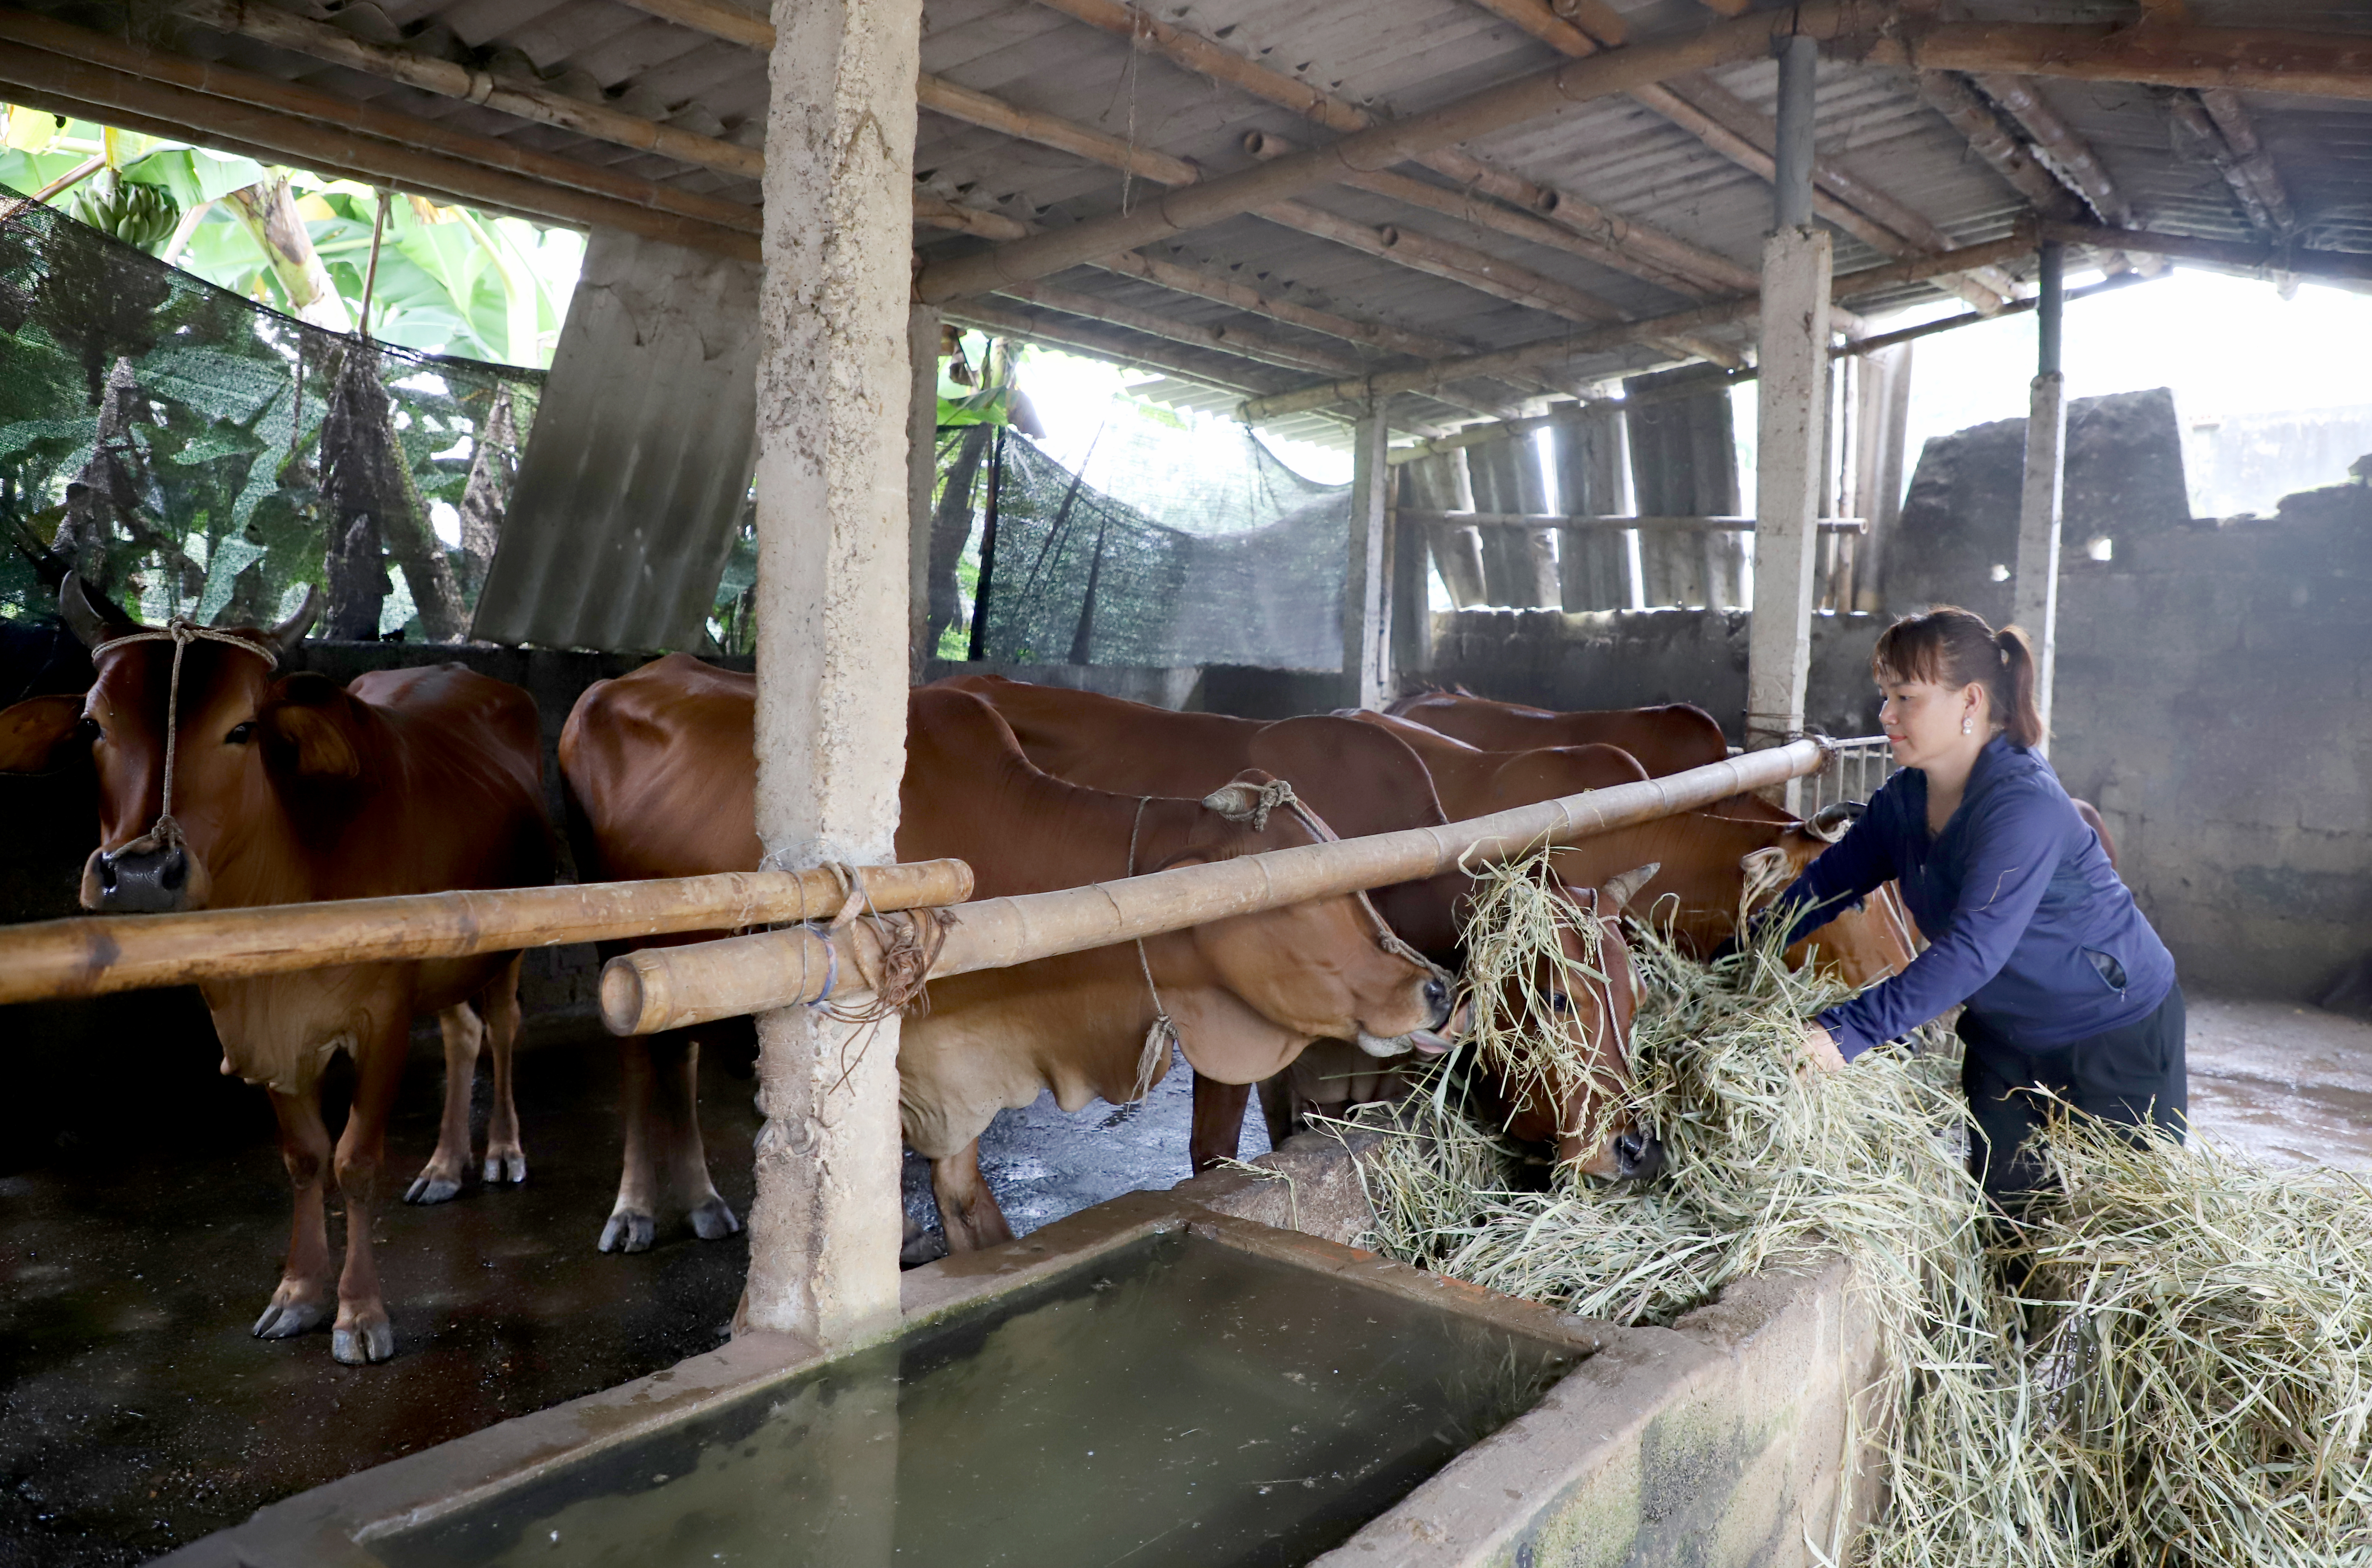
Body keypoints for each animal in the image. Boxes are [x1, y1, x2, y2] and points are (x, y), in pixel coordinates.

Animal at [0, 581, 553, 1366]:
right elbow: (304, 1157)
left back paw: (503, 1150)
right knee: (461, 1035)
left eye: (243, 729)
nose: (138, 873)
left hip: (506, 942)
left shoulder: (382, 1017)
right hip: (447, 956)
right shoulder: (259, 1021)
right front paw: (299, 1294)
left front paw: (359, 1312)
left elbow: (354, 1160)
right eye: (93, 726)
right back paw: (445, 1166)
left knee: (502, 1027)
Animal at [560, 669, 1442, 1252]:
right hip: (621, 947)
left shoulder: (957, 1075)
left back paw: (702, 1198)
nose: (1432, 988)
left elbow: (970, 1210)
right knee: (643, 1062)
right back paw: (637, 1208)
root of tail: (621, 679)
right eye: (1295, 894)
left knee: (677, 1056)